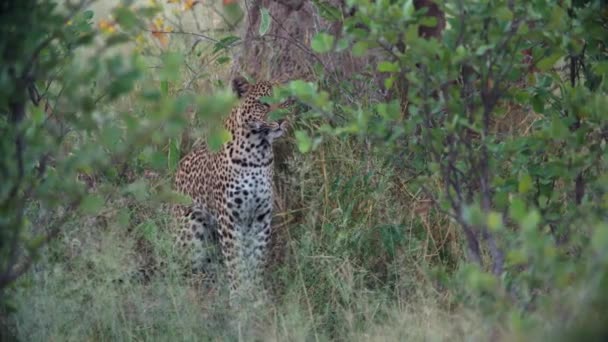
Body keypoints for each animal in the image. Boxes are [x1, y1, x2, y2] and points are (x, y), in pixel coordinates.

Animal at [171, 75, 292, 302]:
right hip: (192, 225)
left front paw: (255, 294)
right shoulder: (229, 217)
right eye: (264, 103)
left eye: (285, 102)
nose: (282, 120)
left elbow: (256, 258)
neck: (258, 153)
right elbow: (235, 261)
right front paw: (239, 296)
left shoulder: (261, 217)